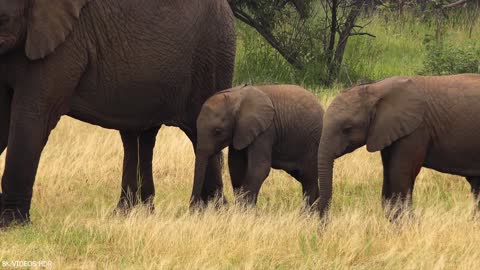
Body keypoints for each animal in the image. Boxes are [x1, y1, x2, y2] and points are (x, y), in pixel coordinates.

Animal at [0, 0, 235, 228]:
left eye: (3, 19)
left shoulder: (64, 42)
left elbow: (32, 116)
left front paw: (11, 225)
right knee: (138, 136)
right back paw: (132, 214)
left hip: (211, 55)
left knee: (197, 132)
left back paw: (211, 213)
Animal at [189, 84, 324, 209]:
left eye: (218, 131)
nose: (193, 210)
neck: (236, 97)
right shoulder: (239, 130)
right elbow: (236, 167)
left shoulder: (265, 131)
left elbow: (259, 168)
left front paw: (246, 211)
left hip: (313, 143)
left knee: (308, 178)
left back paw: (307, 214)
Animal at [316, 74, 480, 219]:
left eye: (347, 129)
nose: (323, 227)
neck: (375, 89)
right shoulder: (388, 131)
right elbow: (389, 178)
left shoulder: (415, 131)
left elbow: (399, 176)